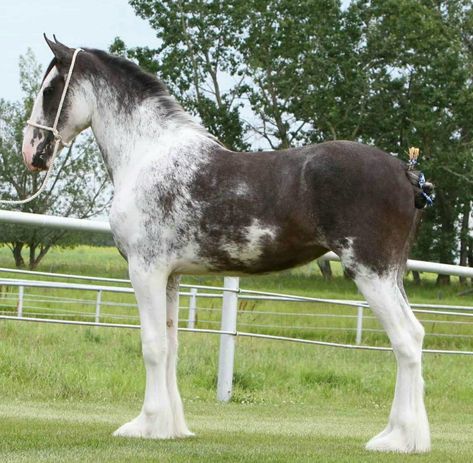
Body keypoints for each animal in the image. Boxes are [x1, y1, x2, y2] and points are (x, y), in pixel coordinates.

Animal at [22, 37, 434, 454]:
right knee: (416, 336)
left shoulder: (145, 270)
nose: (31, 152)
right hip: (391, 275)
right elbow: (171, 346)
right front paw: (172, 427)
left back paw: (397, 438)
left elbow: (153, 346)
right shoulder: (170, 277)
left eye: (49, 90)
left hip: (371, 272)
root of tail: (407, 173)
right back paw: (410, 437)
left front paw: (146, 425)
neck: (148, 154)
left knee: (405, 340)